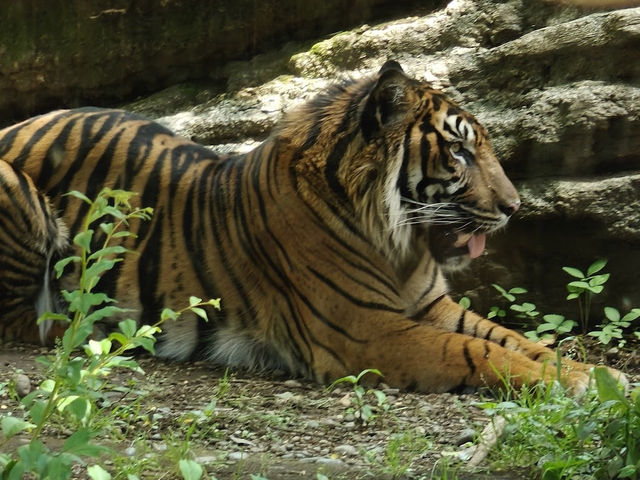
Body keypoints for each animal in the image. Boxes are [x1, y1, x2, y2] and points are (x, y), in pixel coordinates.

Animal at [0, 60, 624, 392]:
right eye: (460, 152)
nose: (516, 207)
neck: (397, 243)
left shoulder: (431, 306)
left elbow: (515, 339)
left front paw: (595, 373)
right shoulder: (371, 331)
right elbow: (480, 353)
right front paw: (578, 383)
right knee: (25, 322)